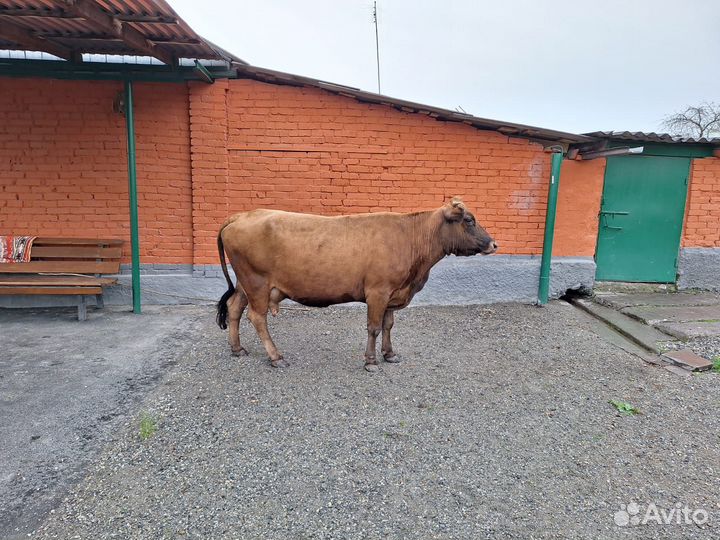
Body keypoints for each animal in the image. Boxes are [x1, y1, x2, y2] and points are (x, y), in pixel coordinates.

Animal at [216, 197, 497, 372]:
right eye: (469, 220)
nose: (494, 244)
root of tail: (241, 215)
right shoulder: (377, 291)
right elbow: (373, 327)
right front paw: (371, 361)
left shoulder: (393, 293)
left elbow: (388, 325)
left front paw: (389, 354)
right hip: (256, 282)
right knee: (257, 317)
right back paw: (276, 357)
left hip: (245, 283)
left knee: (234, 308)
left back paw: (237, 348)